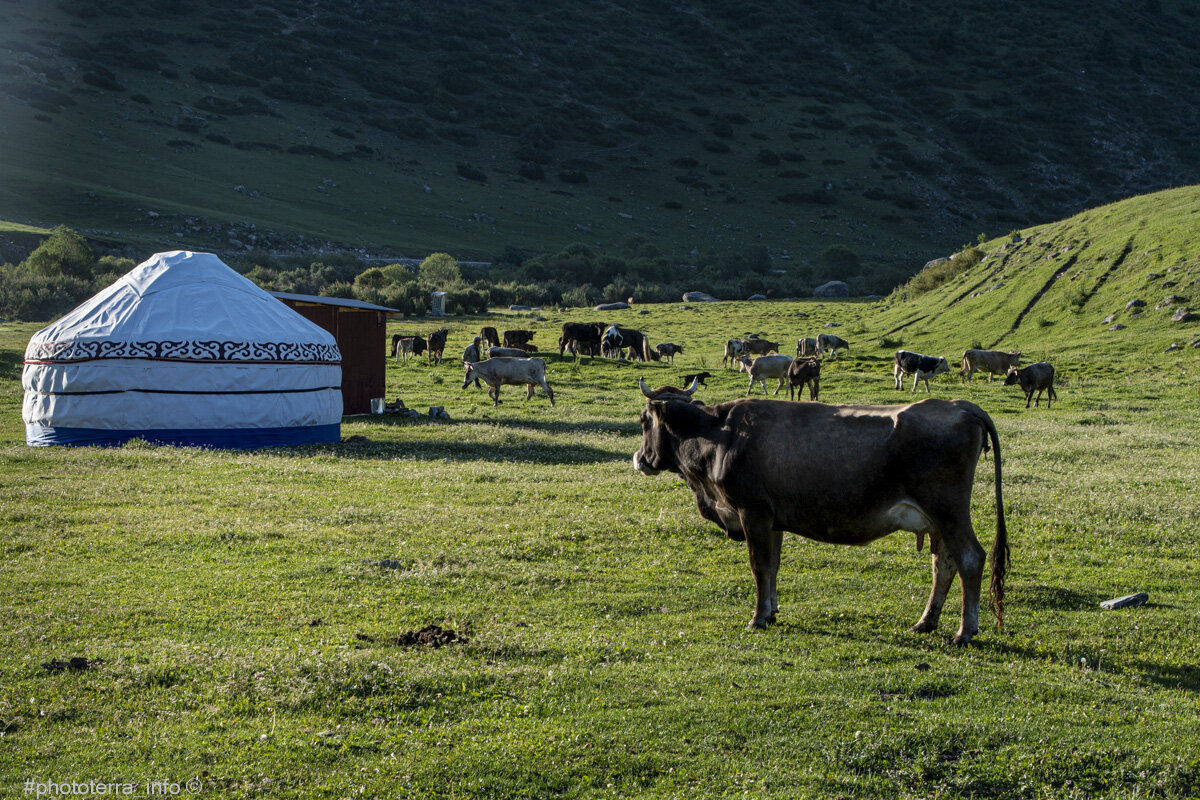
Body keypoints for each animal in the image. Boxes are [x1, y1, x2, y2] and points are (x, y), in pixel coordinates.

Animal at [633, 398, 1008, 647]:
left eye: (643, 422)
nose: (639, 458)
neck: (720, 436)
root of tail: (960, 405)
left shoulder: (752, 512)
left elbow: (759, 566)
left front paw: (758, 617)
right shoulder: (773, 520)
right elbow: (772, 566)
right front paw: (771, 611)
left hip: (948, 510)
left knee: (970, 559)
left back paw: (965, 631)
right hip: (938, 520)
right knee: (944, 564)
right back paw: (926, 622)